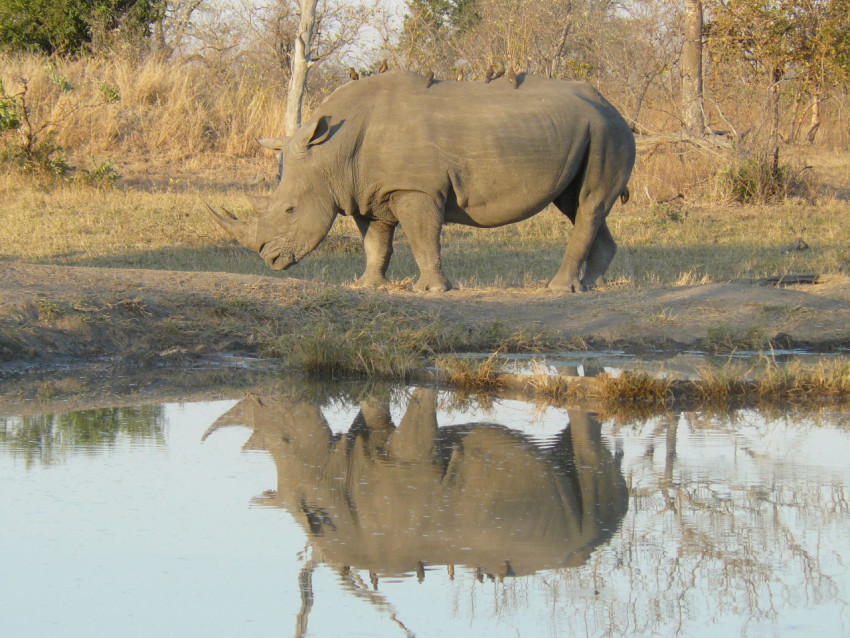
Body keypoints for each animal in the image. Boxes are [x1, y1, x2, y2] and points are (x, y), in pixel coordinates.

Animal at [210, 70, 636, 292]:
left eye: (289, 209)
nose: (268, 258)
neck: (331, 153)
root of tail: (614, 106)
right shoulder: (367, 190)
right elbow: (375, 242)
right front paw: (367, 286)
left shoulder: (415, 189)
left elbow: (422, 238)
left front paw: (431, 290)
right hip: (589, 129)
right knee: (577, 204)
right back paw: (591, 285)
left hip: (608, 132)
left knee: (589, 203)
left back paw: (559, 289)